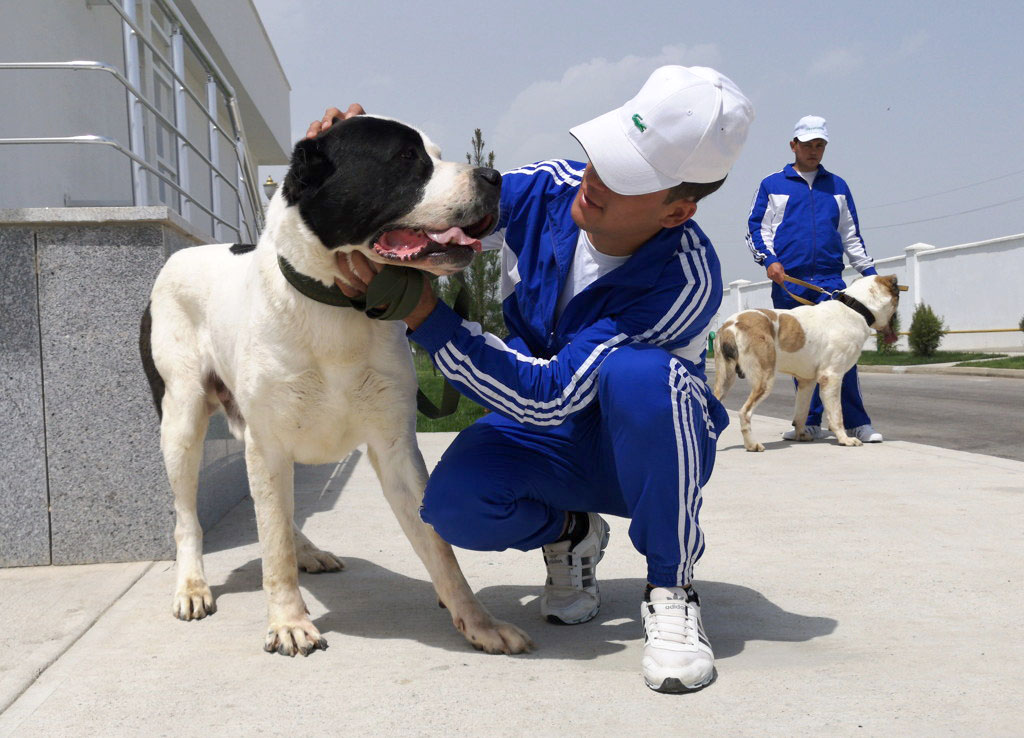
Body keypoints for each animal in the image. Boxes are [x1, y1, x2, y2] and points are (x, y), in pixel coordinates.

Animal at [712, 274, 897, 448]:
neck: (855, 308)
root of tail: (730, 325)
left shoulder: (806, 382)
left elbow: (801, 413)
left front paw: (800, 435)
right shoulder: (832, 377)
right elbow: (837, 414)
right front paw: (845, 439)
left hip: (725, 379)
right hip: (764, 379)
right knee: (745, 412)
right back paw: (752, 445)